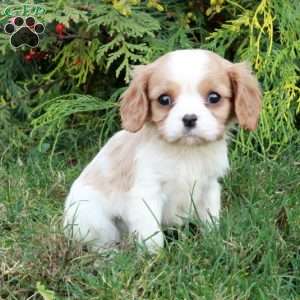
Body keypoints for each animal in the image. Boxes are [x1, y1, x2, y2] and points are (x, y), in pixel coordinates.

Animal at [63, 49, 260, 253]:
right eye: (164, 100)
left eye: (214, 97)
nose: (189, 119)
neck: (187, 151)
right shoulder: (147, 193)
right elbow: (151, 234)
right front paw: (154, 256)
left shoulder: (210, 187)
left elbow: (210, 219)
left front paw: (214, 242)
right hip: (93, 220)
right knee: (102, 244)